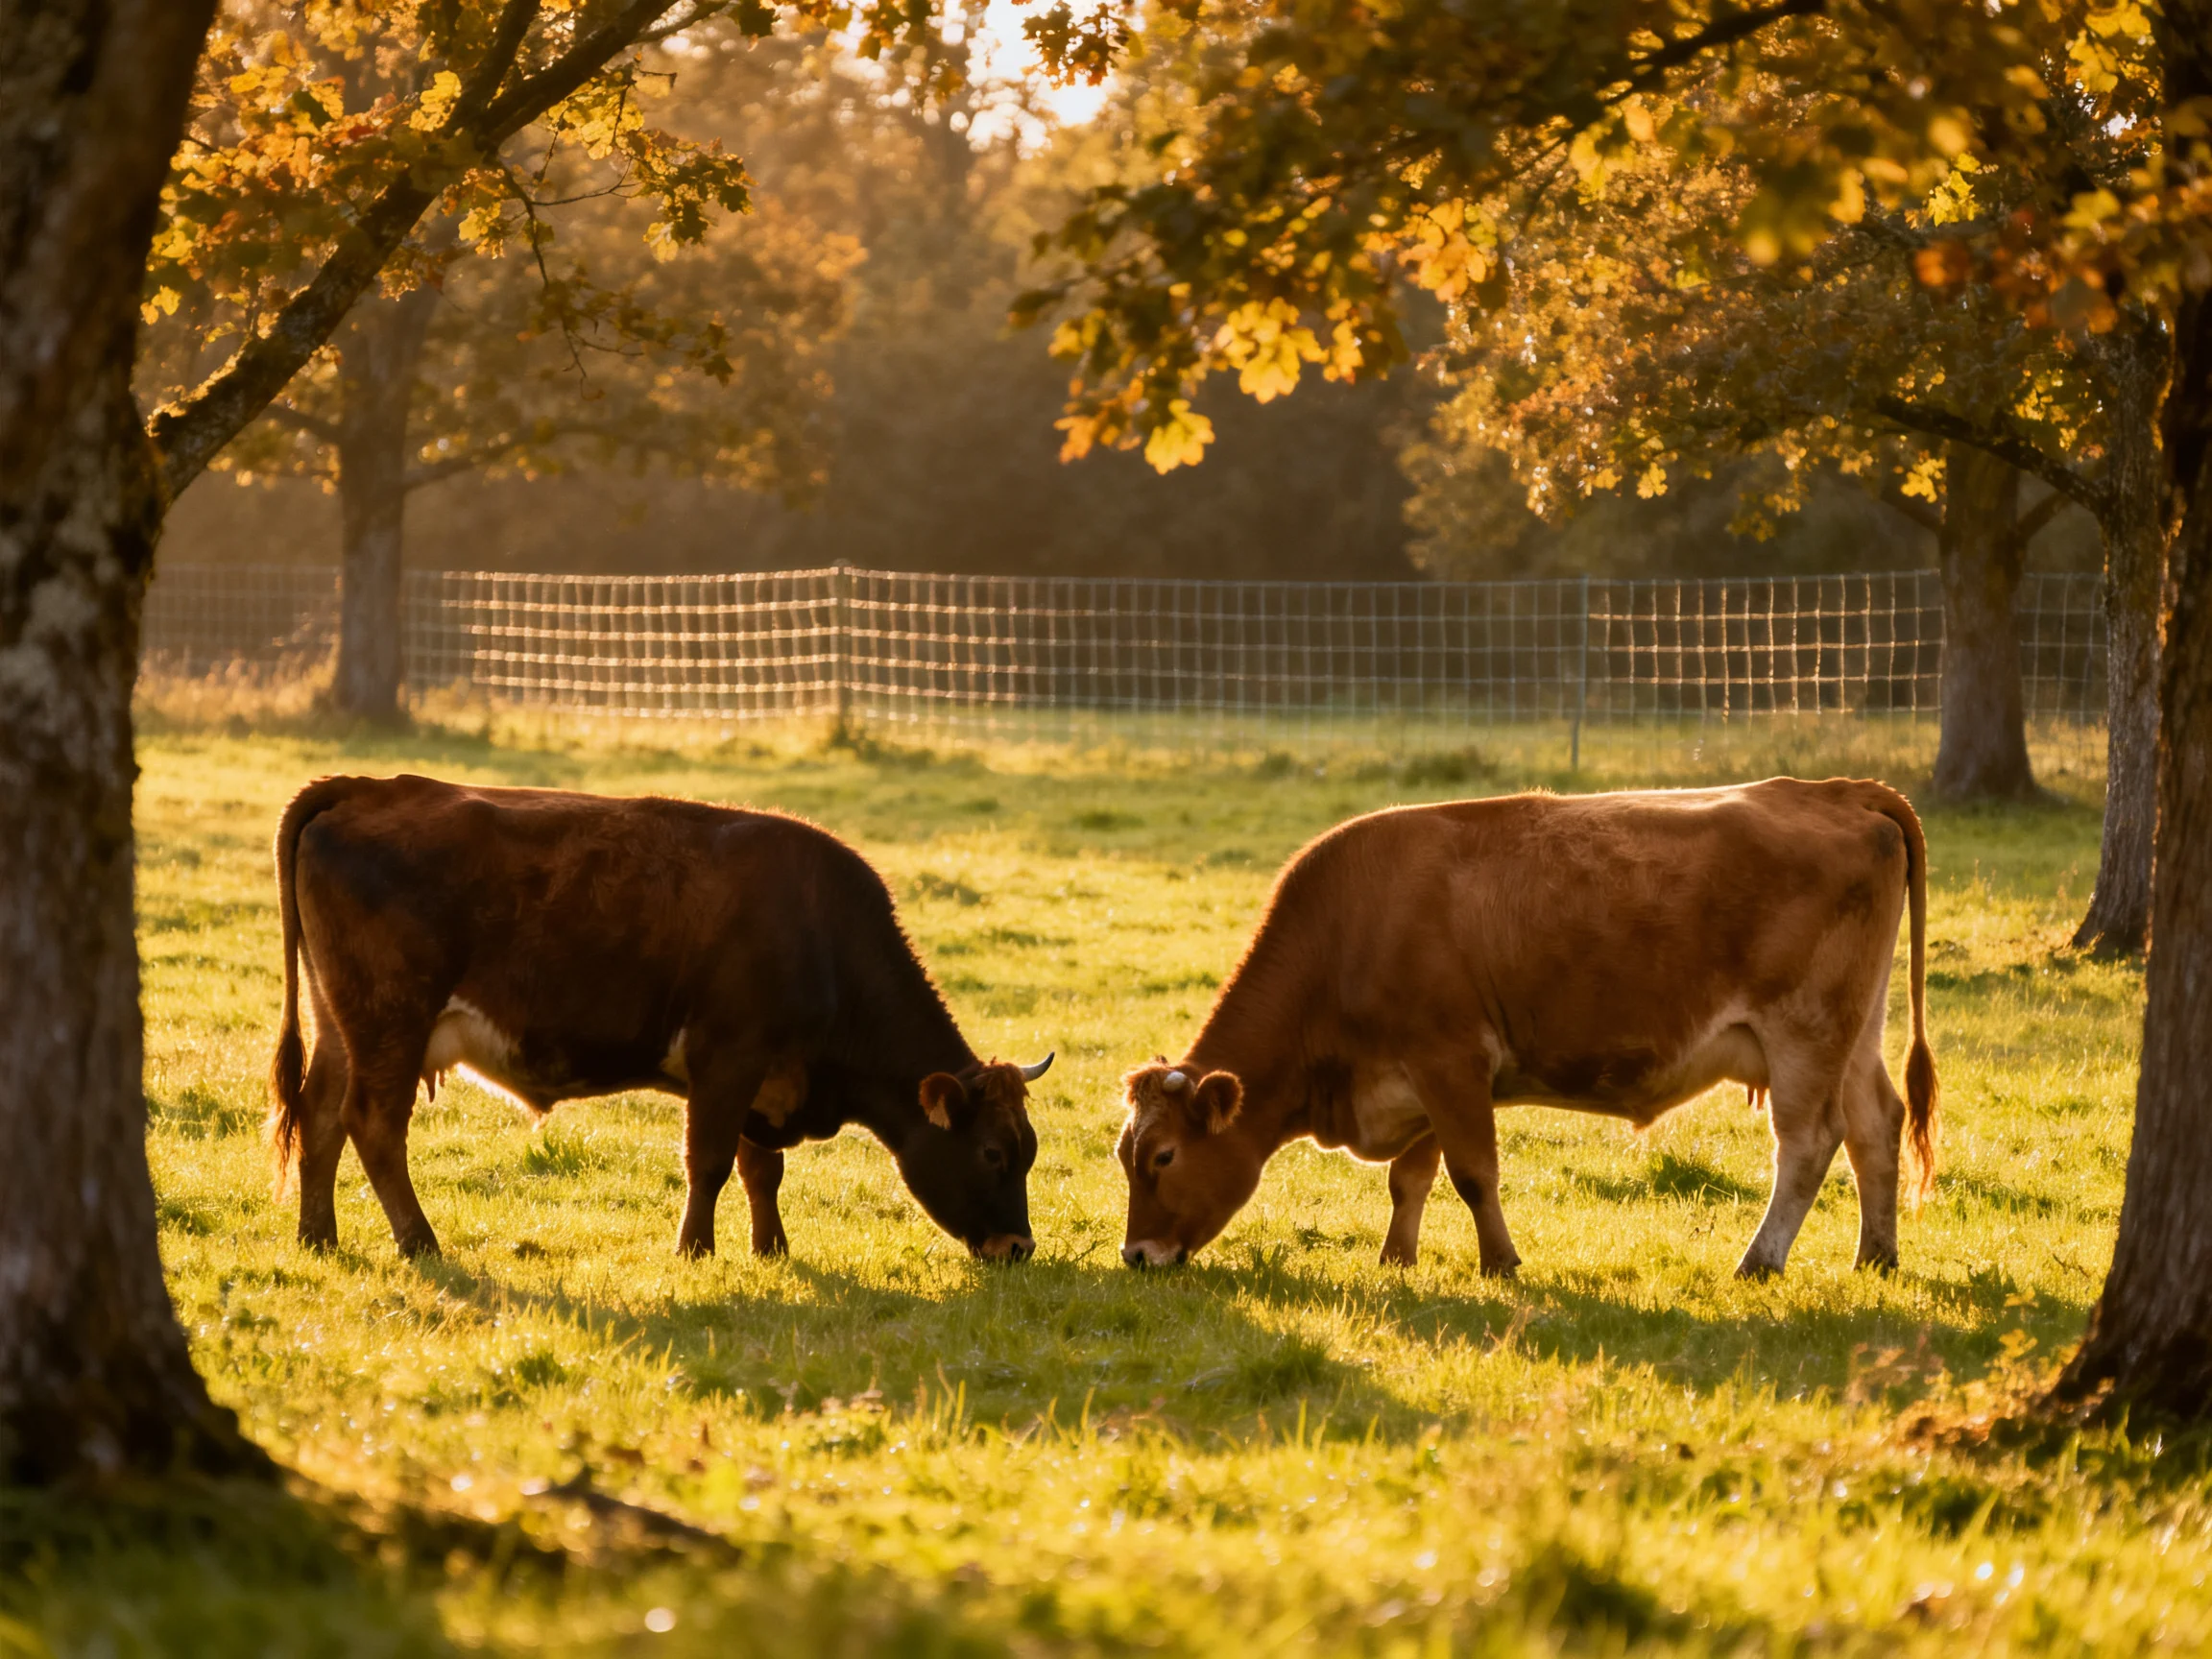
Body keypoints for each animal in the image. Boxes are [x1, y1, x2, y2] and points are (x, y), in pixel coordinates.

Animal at [267, 775, 1050, 1262]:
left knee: (321, 1113)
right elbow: (710, 1161)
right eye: (992, 1153)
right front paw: (695, 1249)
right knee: (372, 1124)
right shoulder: (727, 1058)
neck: (820, 933)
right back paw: (419, 1241)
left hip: (342, 1023)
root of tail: (367, 787)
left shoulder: (757, 1078)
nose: (1019, 1249)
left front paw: (772, 1249)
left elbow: (761, 1168)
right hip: (390, 1021)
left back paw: (318, 1236)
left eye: (1030, 1151)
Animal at [1115, 778, 1936, 1280]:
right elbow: (1410, 1177)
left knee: (1809, 1143)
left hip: (1804, 1033)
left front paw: (1500, 1262)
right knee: (1875, 1124)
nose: (1135, 1255)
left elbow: (1473, 1173)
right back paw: (1876, 1255)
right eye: (1125, 1155)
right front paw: (1397, 1259)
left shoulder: (1449, 1061)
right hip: (1853, 1032)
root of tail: (1836, 791)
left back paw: (1759, 1262)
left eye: (1162, 1156)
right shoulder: (1418, 1081)